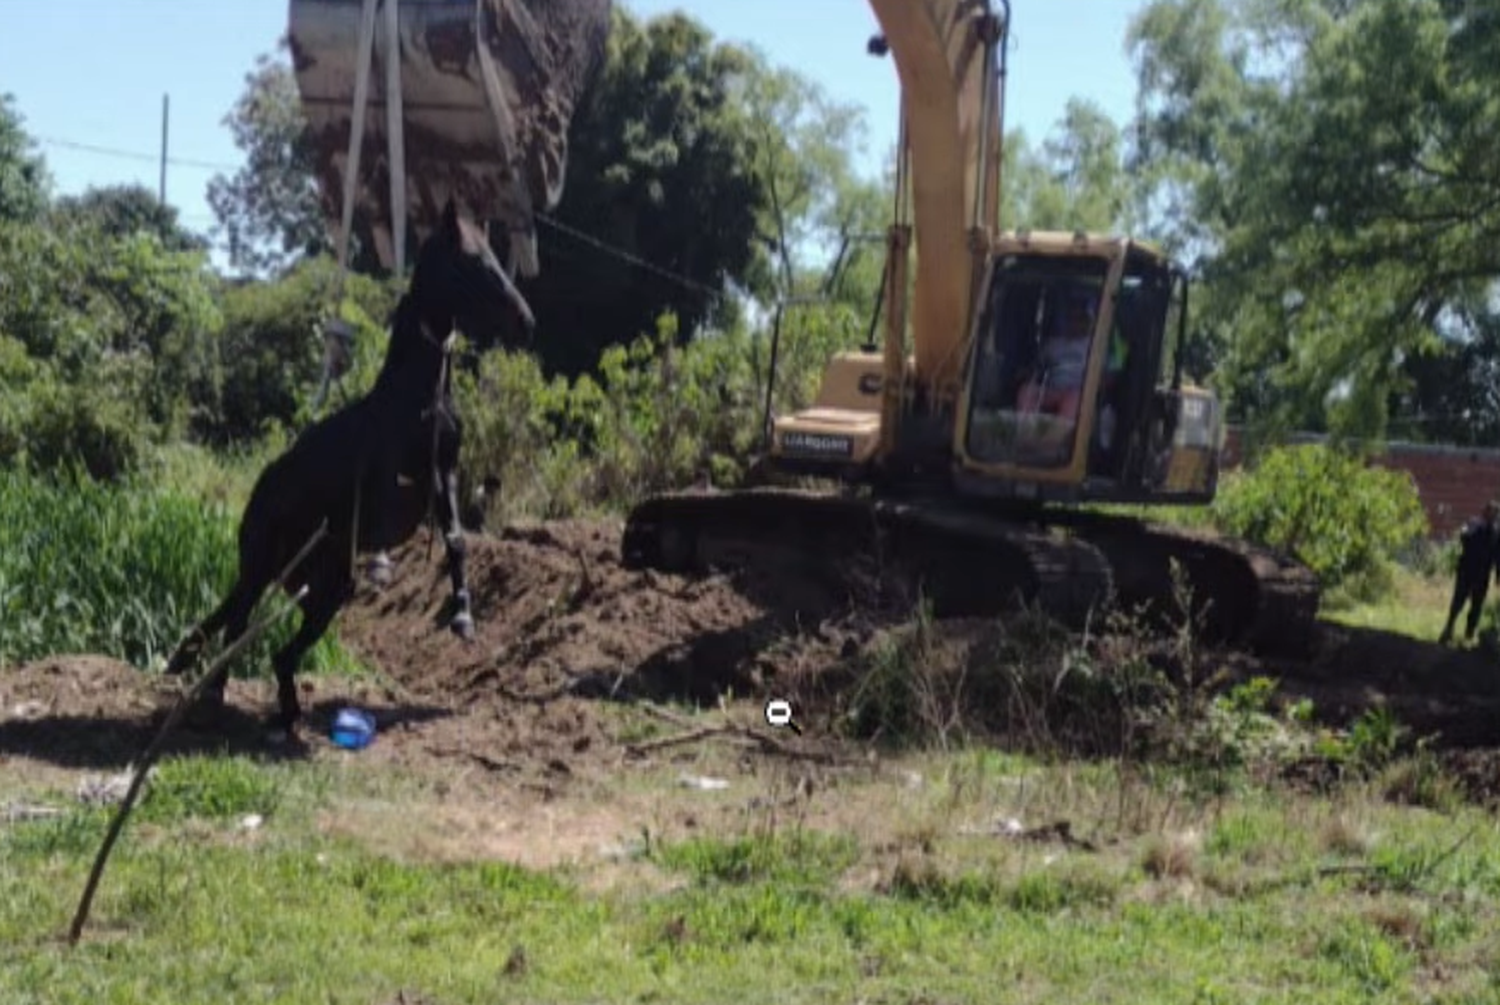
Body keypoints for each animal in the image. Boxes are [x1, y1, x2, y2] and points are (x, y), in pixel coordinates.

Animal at [165, 199, 534, 741]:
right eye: (472, 261)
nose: (525, 319)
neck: (418, 395)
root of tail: (260, 494)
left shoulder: (443, 474)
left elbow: (457, 541)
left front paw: (464, 617)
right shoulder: (399, 479)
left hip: (324, 584)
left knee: (275, 650)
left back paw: (283, 712)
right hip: (262, 567)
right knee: (239, 624)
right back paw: (215, 694)